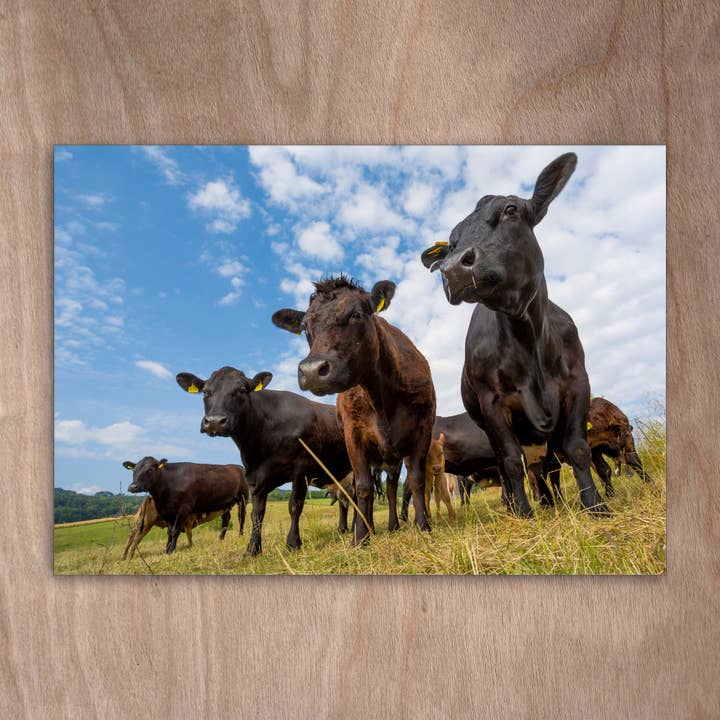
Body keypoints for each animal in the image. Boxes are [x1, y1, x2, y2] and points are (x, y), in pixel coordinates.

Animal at [176, 368, 351, 556]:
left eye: (241, 390)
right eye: (206, 392)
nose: (215, 421)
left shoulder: (301, 469)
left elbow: (295, 505)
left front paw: (293, 543)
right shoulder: (255, 476)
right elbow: (257, 514)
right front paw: (252, 549)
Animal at [272, 276, 436, 545]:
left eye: (356, 314)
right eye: (305, 327)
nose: (312, 370)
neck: (380, 395)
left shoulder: (423, 428)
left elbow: (416, 480)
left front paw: (424, 527)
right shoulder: (353, 436)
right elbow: (362, 487)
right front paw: (360, 537)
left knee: (392, 488)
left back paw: (392, 525)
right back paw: (369, 527)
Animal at [421, 152, 609, 517]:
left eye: (511, 210)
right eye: (452, 242)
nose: (451, 269)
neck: (529, 337)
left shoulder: (578, 383)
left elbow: (578, 449)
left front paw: (595, 506)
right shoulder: (492, 402)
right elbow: (510, 461)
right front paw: (523, 512)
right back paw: (515, 504)